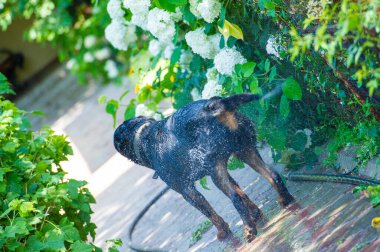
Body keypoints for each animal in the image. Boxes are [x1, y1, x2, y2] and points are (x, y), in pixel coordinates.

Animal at [114, 93, 296, 241]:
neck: (143, 137)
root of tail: (213, 105)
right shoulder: (225, 173)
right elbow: (243, 195)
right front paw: (256, 215)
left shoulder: (187, 191)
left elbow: (211, 214)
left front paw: (223, 231)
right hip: (246, 152)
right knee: (273, 175)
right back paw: (285, 200)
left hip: (218, 173)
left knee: (234, 199)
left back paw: (249, 230)